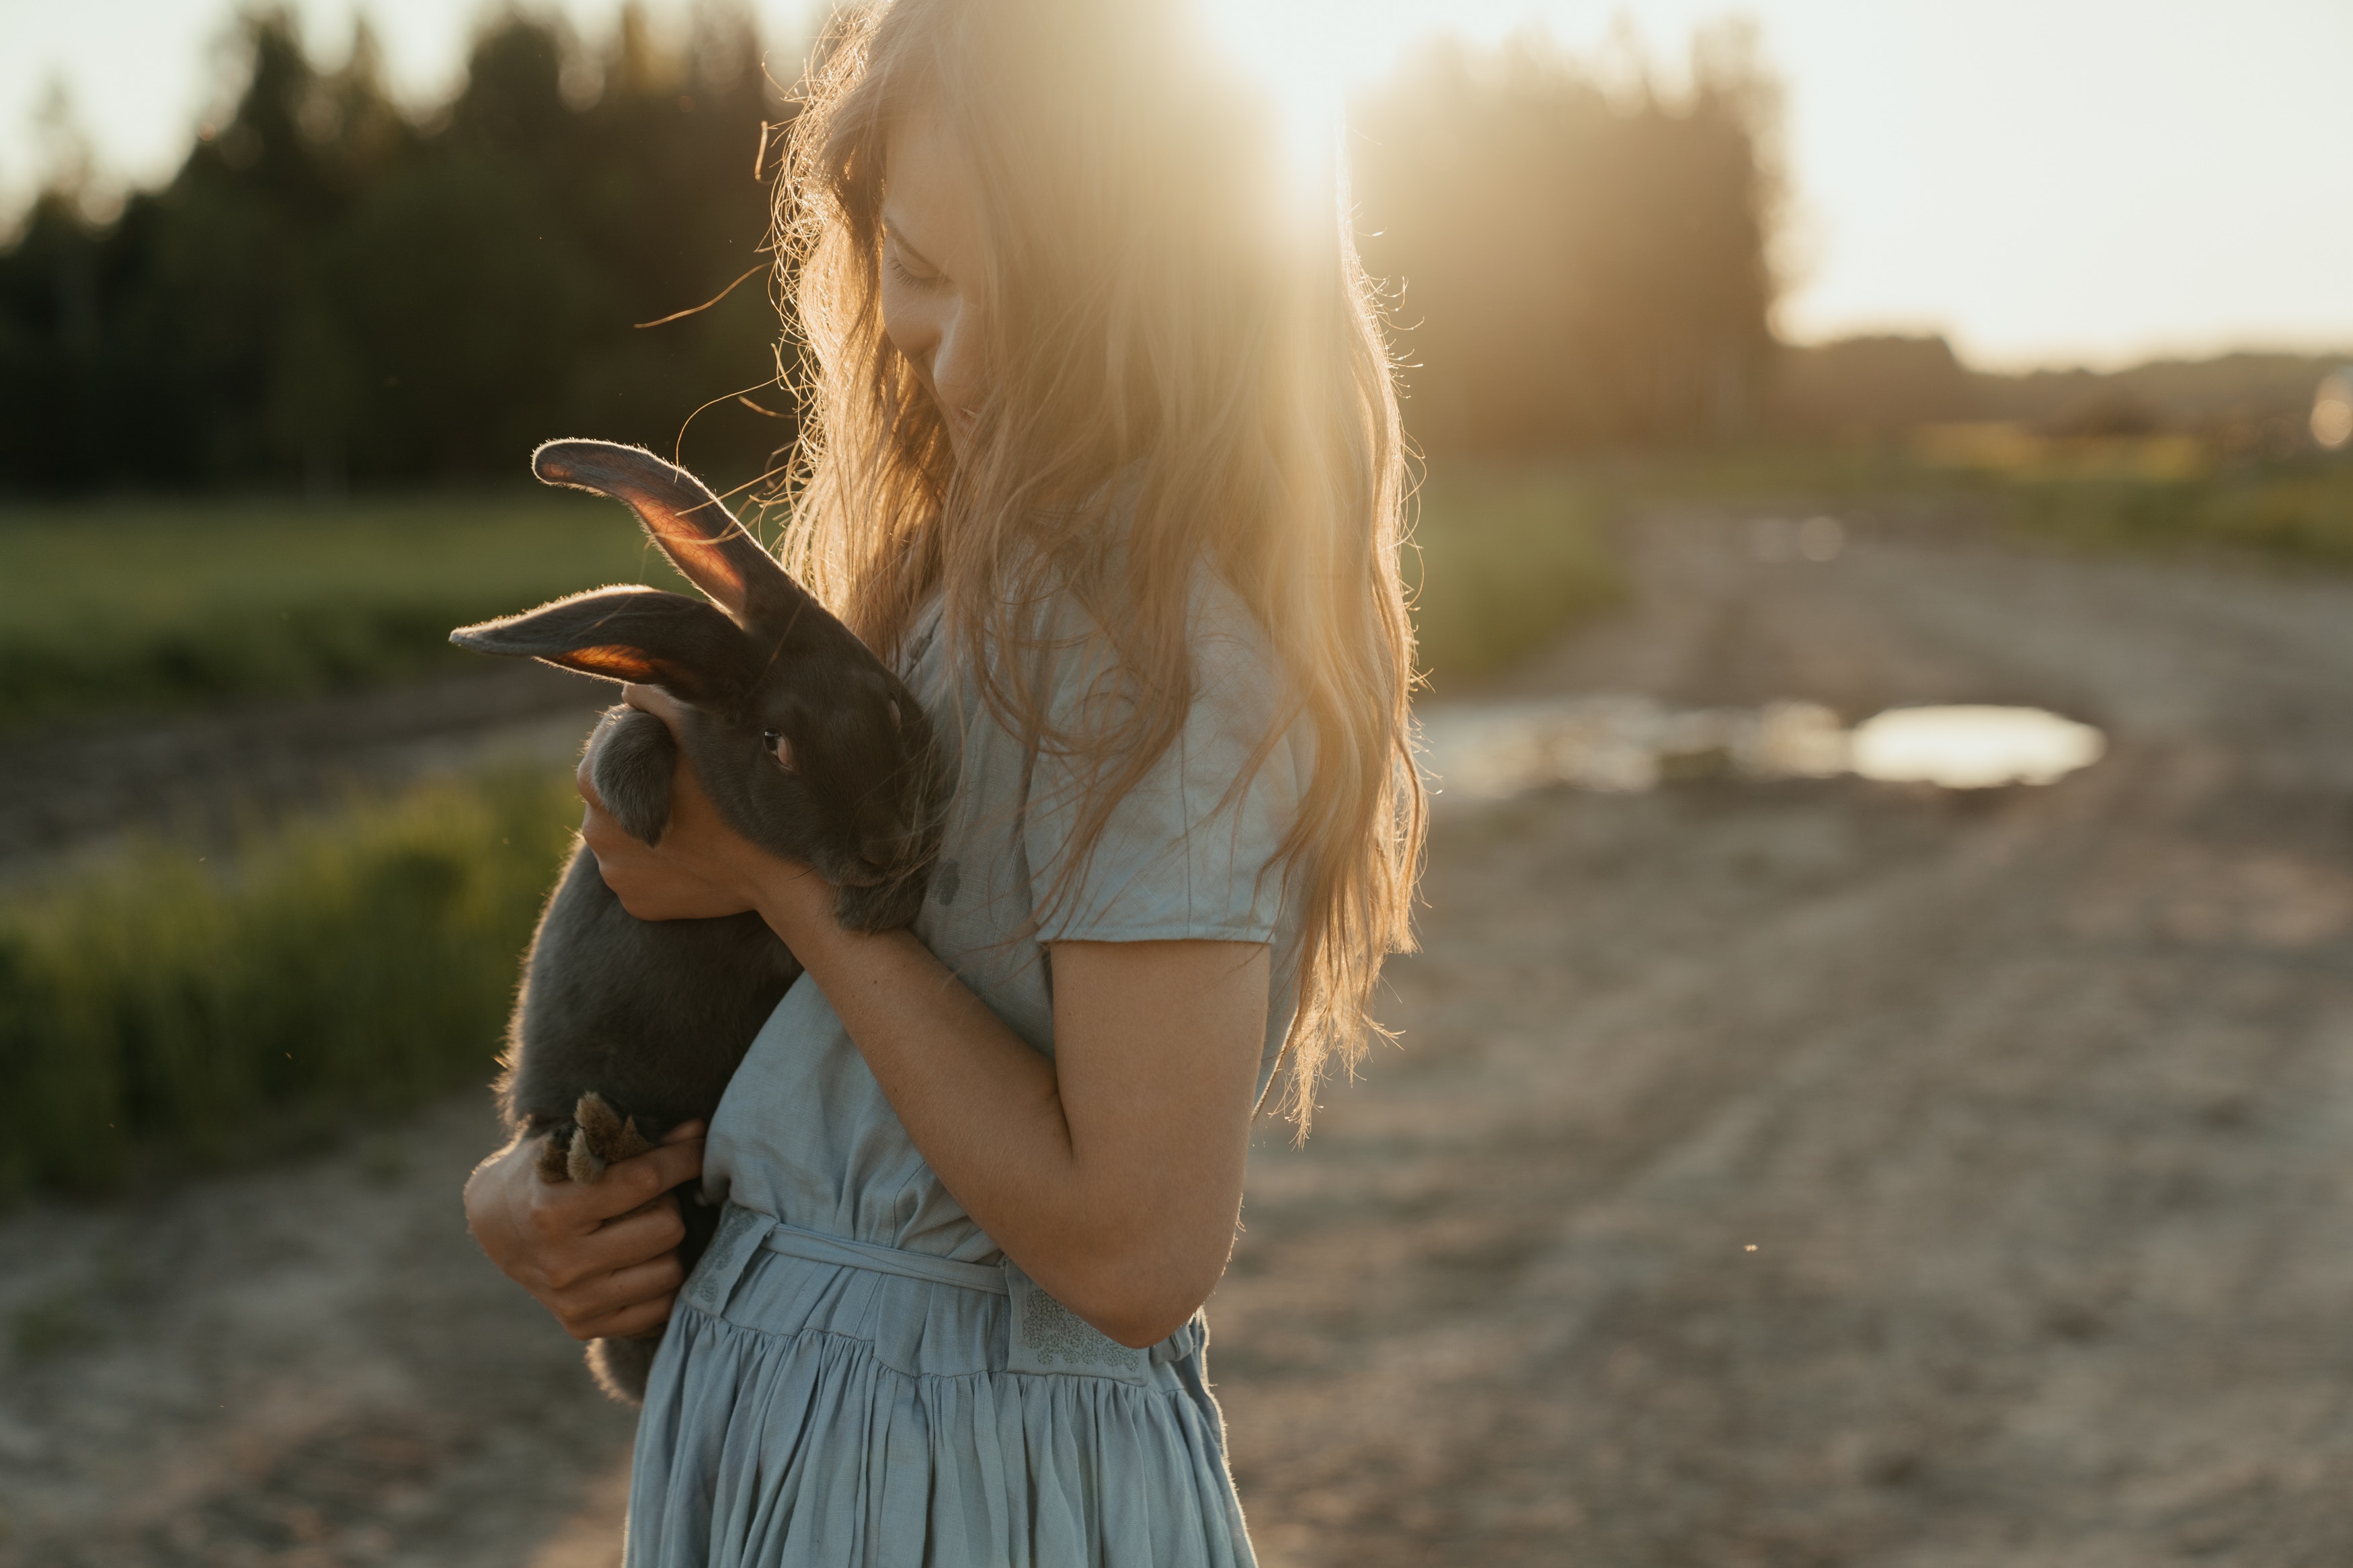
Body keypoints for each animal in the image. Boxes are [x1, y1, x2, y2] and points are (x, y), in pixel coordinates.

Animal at [449, 442, 946, 1410]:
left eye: (893, 706)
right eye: (776, 744)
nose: (884, 845)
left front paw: (879, 902)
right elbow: (626, 735)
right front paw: (640, 808)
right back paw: (591, 1148)